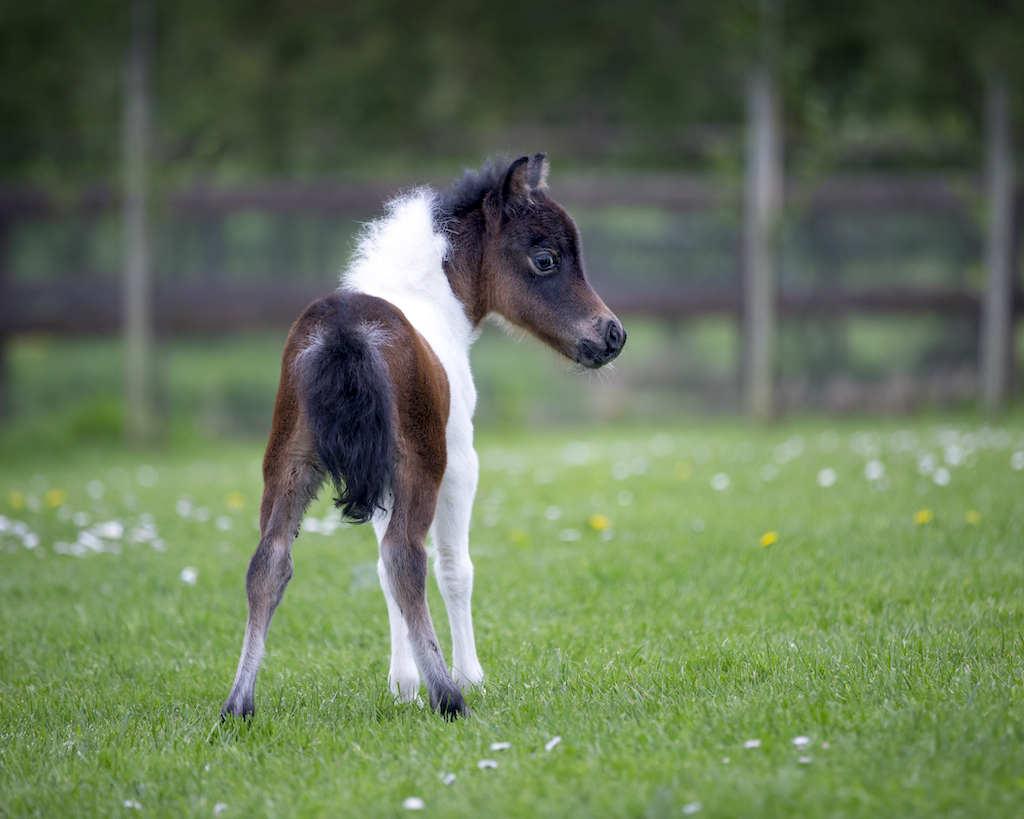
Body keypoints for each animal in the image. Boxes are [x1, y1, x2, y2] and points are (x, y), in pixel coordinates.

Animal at [221, 153, 626, 720]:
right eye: (545, 259)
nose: (612, 335)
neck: (431, 298)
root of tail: (346, 332)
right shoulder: (459, 460)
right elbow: (455, 568)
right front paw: (469, 676)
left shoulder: (377, 475)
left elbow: (379, 573)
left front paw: (402, 684)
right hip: (421, 462)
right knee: (406, 557)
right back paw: (450, 696)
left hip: (289, 457)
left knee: (271, 560)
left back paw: (238, 704)